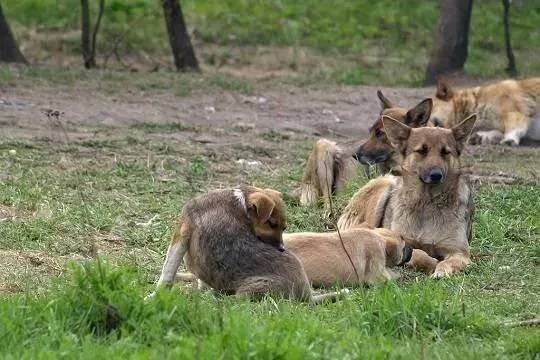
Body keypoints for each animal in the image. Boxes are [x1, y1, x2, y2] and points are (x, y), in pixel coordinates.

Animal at [147, 186, 342, 304]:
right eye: (273, 224)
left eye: (283, 228)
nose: (281, 249)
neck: (240, 201)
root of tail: (307, 294)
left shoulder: (181, 233)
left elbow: (167, 271)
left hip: (249, 291)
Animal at [338, 114, 476, 278]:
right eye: (422, 151)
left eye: (445, 152)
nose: (436, 175)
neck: (426, 202)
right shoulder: (400, 241)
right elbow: (416, 253)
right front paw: (429, 262)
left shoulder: (459, 252)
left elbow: (448, 262)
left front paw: (441, 271)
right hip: (385, 184)